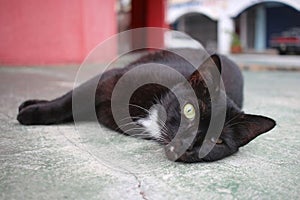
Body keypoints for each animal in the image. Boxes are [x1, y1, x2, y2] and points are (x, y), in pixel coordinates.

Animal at [15, 48, 274, 162]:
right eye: (190, 111)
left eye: (216, 141)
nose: (190, 144)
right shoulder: (108, 79)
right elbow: (66, 102)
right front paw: (32, 114)